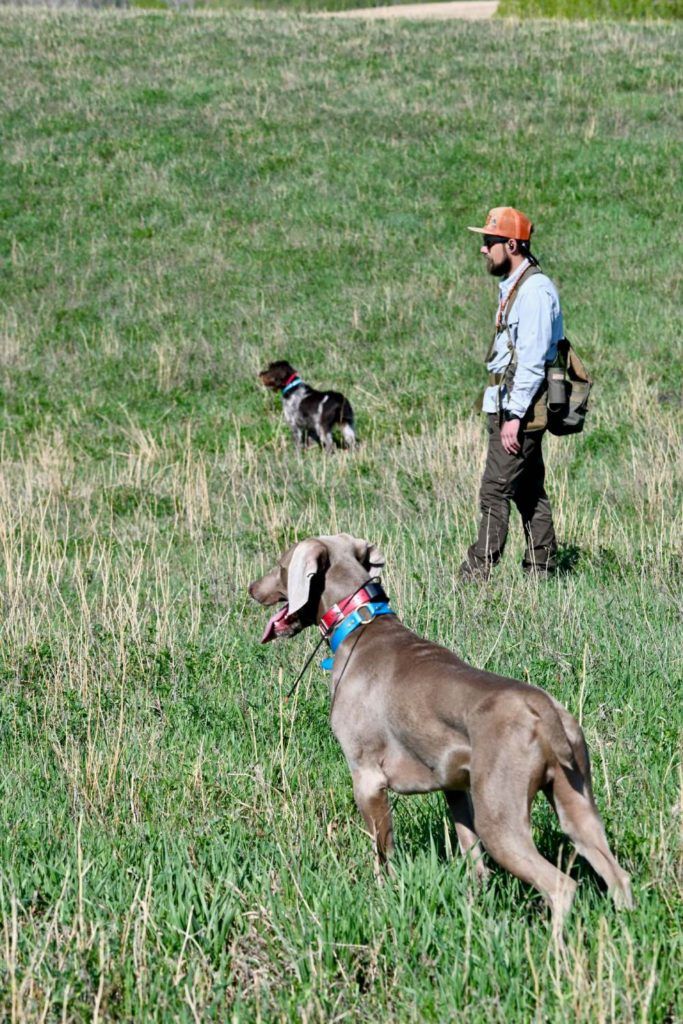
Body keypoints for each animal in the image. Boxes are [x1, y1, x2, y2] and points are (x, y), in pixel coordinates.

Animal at [248, 532, 634, 933]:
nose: (251, 589)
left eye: (281, 565)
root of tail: (541, 708)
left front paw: (382, 895)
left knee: (561, 886)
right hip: (576, 798)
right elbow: (472, 855)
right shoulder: (455, 786)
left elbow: (382, 852)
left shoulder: (367, 778)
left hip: (500, 816)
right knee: (616, 875)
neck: (359, 623)